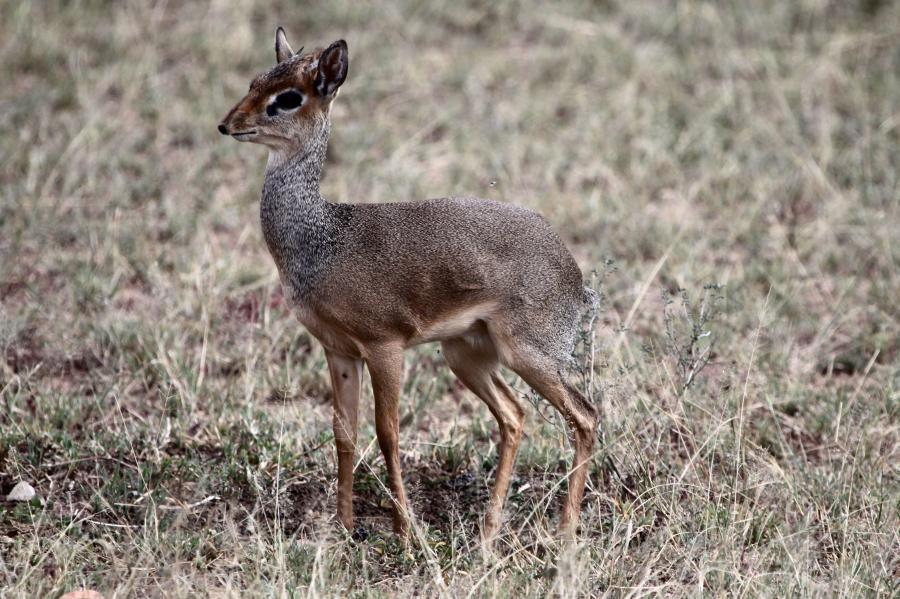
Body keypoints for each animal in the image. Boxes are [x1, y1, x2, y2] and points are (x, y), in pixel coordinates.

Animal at [218, 27, 600, 540]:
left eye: (289, 97)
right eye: (255, 80)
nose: (227, 124)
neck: (321, 239)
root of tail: (574, 274)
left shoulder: (385, 346)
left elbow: (388, 433)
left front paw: (404, 530)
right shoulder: (338, 350)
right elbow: (344, 433)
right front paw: (343, 527)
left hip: (530, 354)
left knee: (585, 415)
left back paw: (565, 530)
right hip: (465, 355)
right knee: (515, 415)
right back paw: (488, 530)